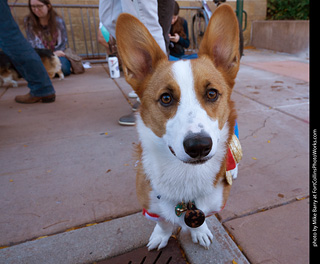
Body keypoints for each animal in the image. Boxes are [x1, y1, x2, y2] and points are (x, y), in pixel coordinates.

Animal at [116, 5, 241, 251]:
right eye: (166, 98)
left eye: (212, 93)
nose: (199, 146)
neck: (186, 176)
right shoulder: (152, 207)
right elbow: (164, 222)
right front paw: (161, 236)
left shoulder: (213, 205)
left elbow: (201, 220)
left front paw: (199, 232)